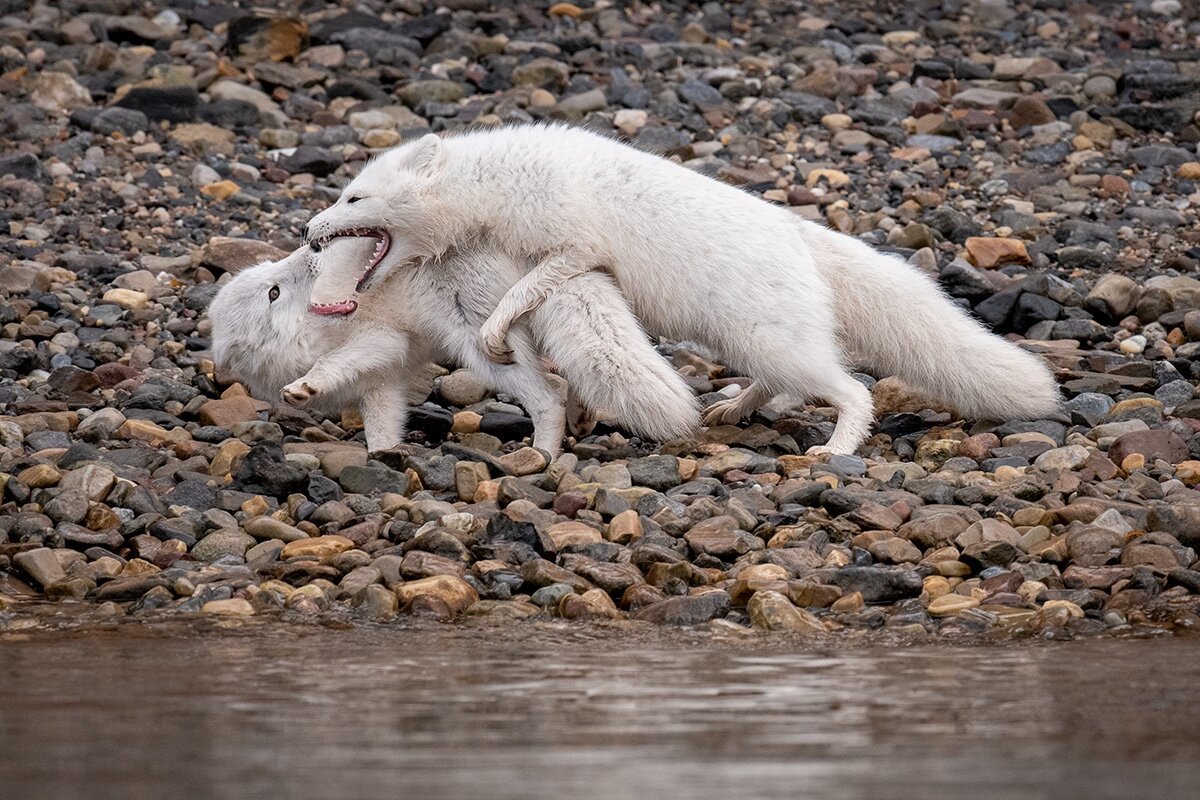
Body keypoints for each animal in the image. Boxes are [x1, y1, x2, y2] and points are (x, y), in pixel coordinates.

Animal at [205, 236, 696, 455]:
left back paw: (542, 455)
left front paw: (305, 386)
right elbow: (381, 428)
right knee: (562, 380)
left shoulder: (383, 342)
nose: (312, 248)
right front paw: (384, 457)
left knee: (548, 396)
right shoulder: (382, 383)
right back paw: (579, 420)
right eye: (273, 292)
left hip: (478, 348)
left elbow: (332, 365)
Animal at [304, 122, 1065, 453]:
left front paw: (496, 331)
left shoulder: (572, 242)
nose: (309, 230)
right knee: (786, 381)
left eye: (352, 198)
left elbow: (531, 288)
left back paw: (839, 448)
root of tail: (802, 235)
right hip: (750, 339)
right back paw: (733, 409)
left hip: (773, 339)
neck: (491, 180)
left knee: (852, 389)